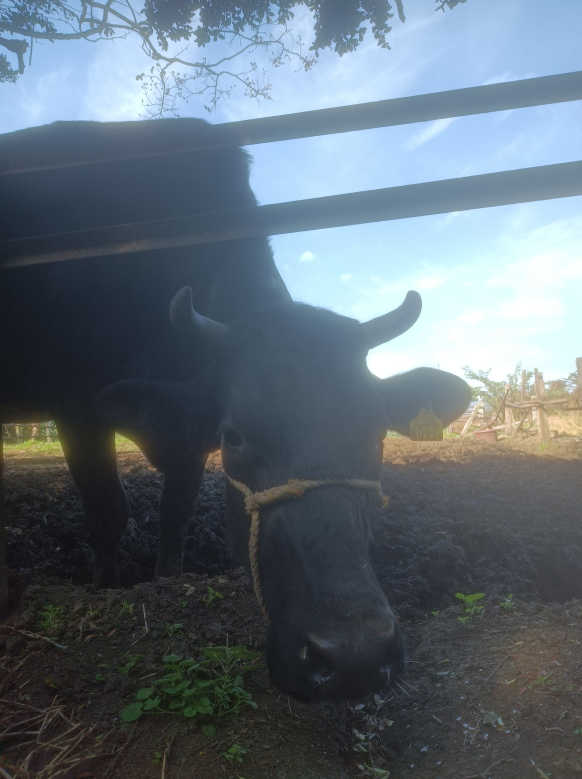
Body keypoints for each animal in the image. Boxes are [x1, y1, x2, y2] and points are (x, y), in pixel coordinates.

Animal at [0, 119, 470, 701]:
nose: (355, 658)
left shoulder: (184, 438)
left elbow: (174, 513)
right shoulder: (78, 408)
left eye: (378, 431)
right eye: (236, 436)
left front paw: (167, 577)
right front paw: (106, 583)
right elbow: (109, 510)